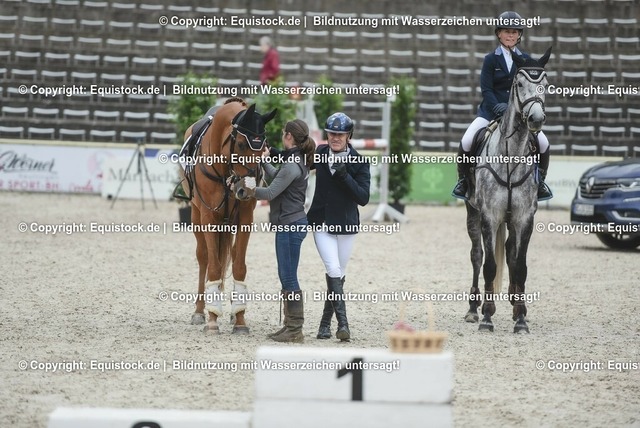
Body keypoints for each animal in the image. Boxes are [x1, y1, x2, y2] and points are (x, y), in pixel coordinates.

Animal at [183, 97, 276, 334]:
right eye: (242, 144)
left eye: (264, 145)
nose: (247, 190)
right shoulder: (209, 217)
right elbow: (214, 266)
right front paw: (212, 320)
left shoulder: (244, 219)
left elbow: (239, 266)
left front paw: (240, 320)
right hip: (196, 217)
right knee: (204, 257)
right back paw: (200, 311)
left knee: (232, 255)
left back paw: (233, 312)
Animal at [464, 47, 551, 334]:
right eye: (519, 84)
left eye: (546, 85)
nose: (536, 119)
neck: (511, 156)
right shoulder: (490, 216)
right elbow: (490, 265)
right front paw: (486, 318)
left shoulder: (525, 217)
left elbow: (520, 264)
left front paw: (521, 318)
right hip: (472, 213)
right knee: (477, 256)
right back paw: (473, 309)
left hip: (511, 220)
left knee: (511, 252)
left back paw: (514, 303)